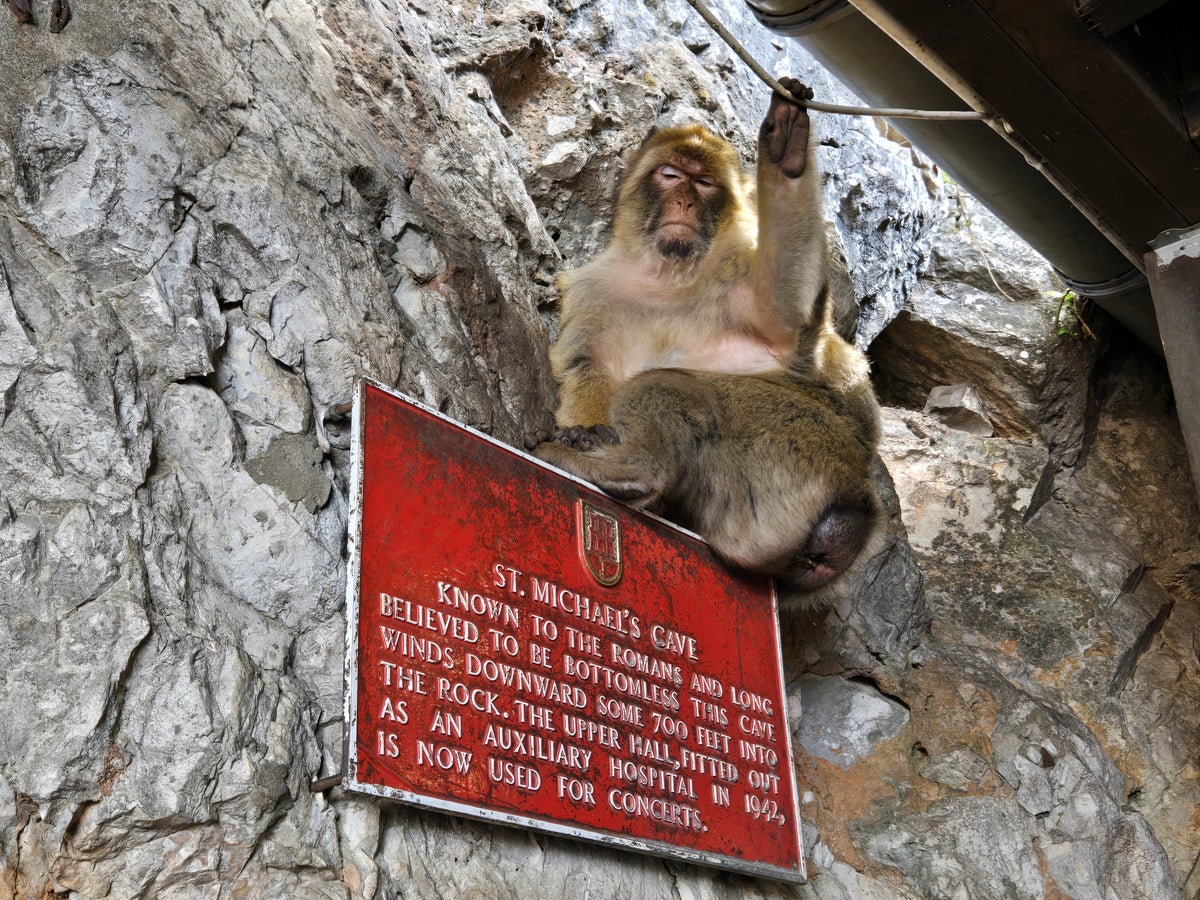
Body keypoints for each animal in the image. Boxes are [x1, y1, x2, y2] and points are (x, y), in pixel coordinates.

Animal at [527, 78, 881, 600]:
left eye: (705, 183)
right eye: (672, 175)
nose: (685, 202)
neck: (669, 274)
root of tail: (854, 507)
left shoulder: (737, 265)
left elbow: (788, 318)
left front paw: (786, 154)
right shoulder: (596, 292)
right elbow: (588, 364)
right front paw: (584, 429)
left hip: (801, 451)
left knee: (672, 386)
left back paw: (630, 471)